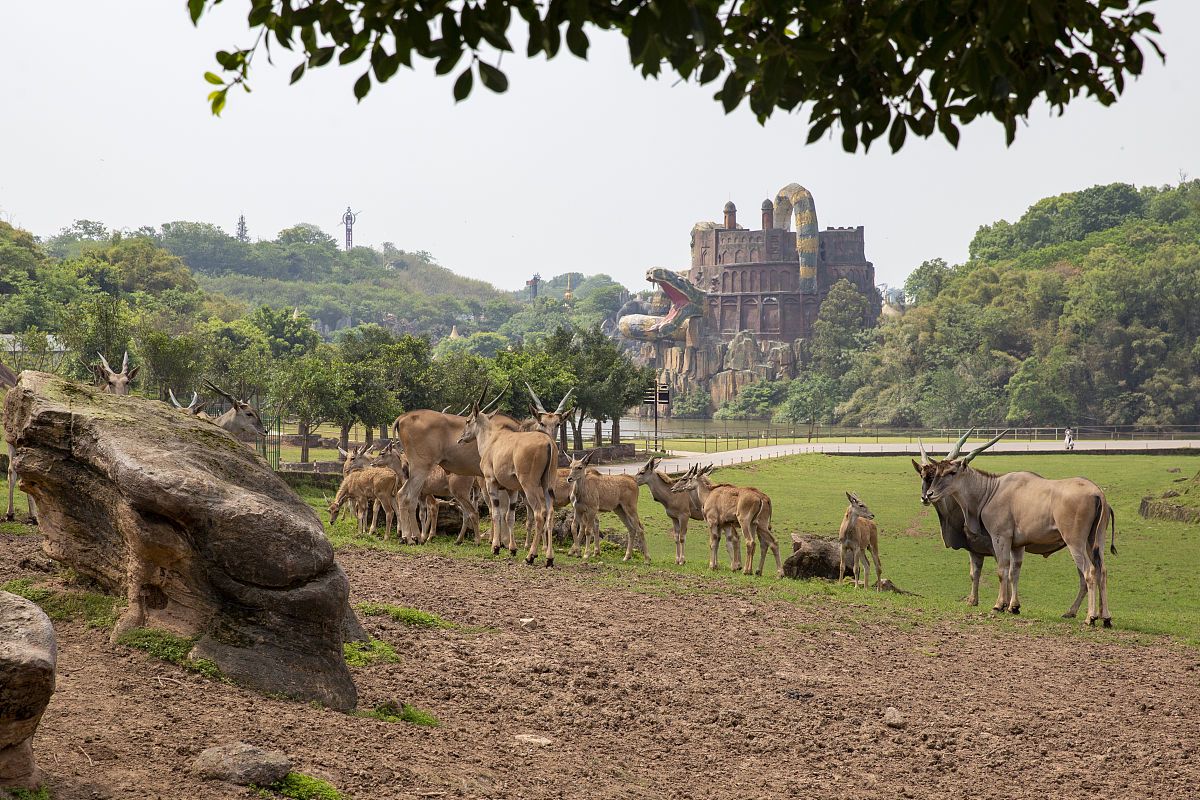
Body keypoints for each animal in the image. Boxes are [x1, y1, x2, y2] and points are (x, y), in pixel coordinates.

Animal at [453, 388, 556, 566]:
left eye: (467, 420)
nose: (461, 438)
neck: (491, 440)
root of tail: (548, 442)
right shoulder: (511, 489)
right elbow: (509, 516)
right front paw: (512, 549)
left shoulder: (491, 483)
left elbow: (496, 513)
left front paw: (496, 547)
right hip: (546, 485)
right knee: (549, 513)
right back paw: (549, 558)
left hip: (529, 486)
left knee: (539, 513)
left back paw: (531, 556)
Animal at [912, 431, 1118, 623]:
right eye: (934, 473)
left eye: (951, 472)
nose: (929, 494)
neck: (991, 490)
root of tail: (1098, 493)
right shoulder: (1017, 545)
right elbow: (1014, 572)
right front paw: (1013, 607)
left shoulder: (1000, 538)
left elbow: (1002, 569)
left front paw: (999, 605)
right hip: (1095, 541)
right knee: (1102, 571)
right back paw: (1104, 617)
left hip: (1075, 542)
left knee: (1089, 572)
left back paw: (1090, 617)